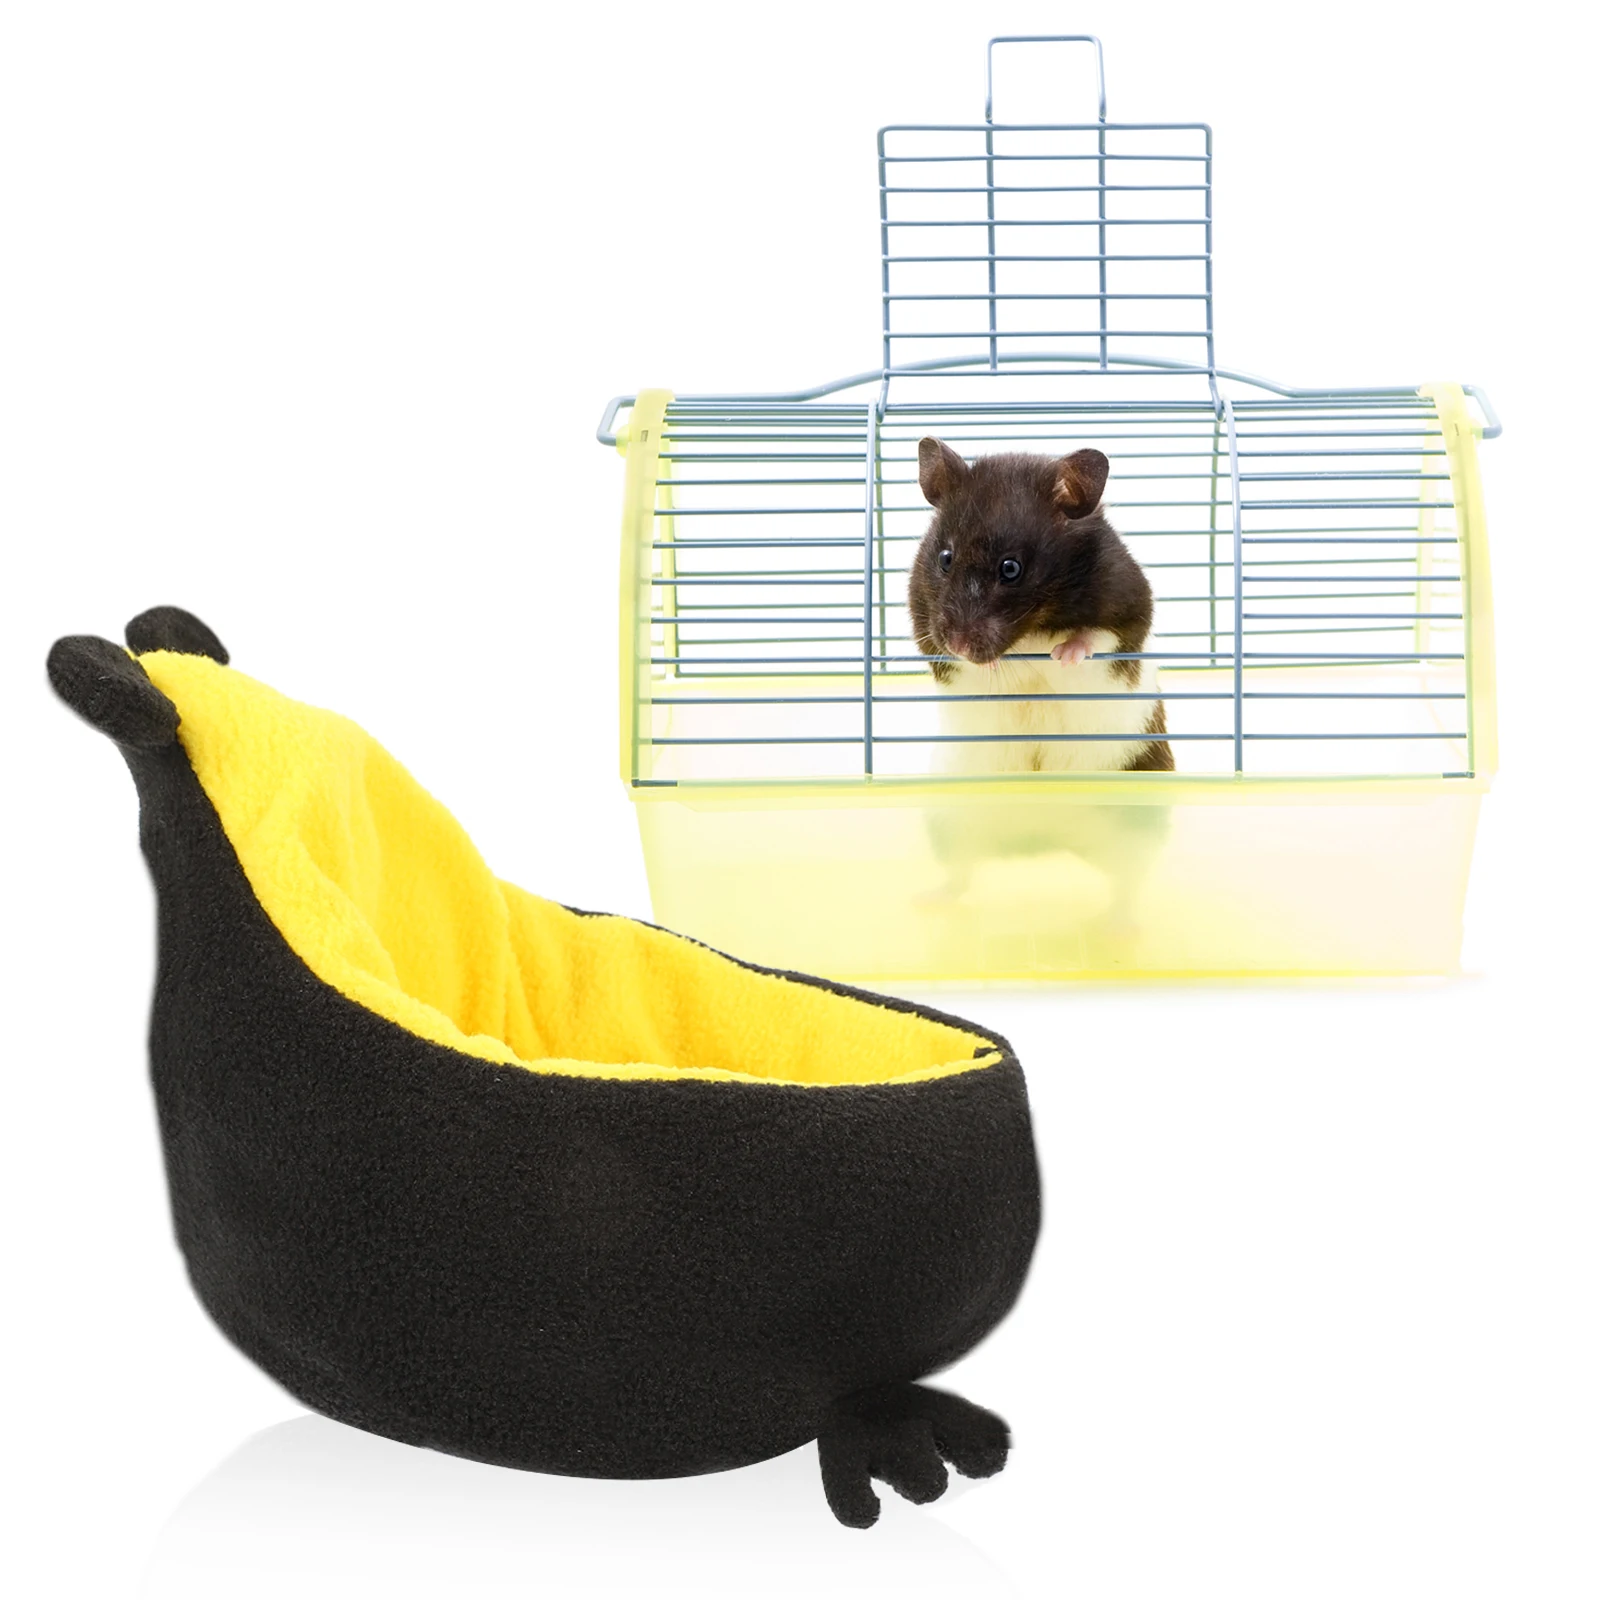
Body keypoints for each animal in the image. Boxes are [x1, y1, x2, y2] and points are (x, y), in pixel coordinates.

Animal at [906, 438, 1173, 774]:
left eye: (1011, 569)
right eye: (945, 558)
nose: (958, 646)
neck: (1029, 629)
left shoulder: (1130, 608)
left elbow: (1097, 637)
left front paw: (1063, 655)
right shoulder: (926, 628)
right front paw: (992, 664)